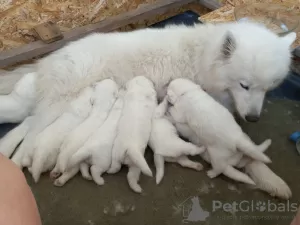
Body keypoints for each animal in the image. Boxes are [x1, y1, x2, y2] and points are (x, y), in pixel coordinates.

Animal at [0, 22, 296, 199]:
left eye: (269, 87)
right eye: (244, 85)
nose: (253, 118)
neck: (201, 58)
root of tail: (49, 59)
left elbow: (251, 153)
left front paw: (271, 180)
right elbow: (250, 155)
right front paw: (272, 179)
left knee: (24, 123)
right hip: (58, 109)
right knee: (30, 134)